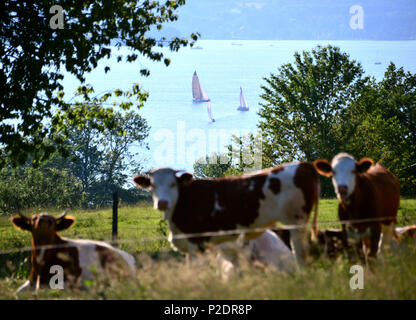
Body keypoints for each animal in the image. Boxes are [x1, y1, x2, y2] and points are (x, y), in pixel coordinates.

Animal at [133, 162, 318, 268]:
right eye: (152, 186)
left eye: (173, 184)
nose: (162, 203)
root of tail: (303, 165)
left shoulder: (197, 243)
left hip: (296, 220)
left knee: (301, 254)